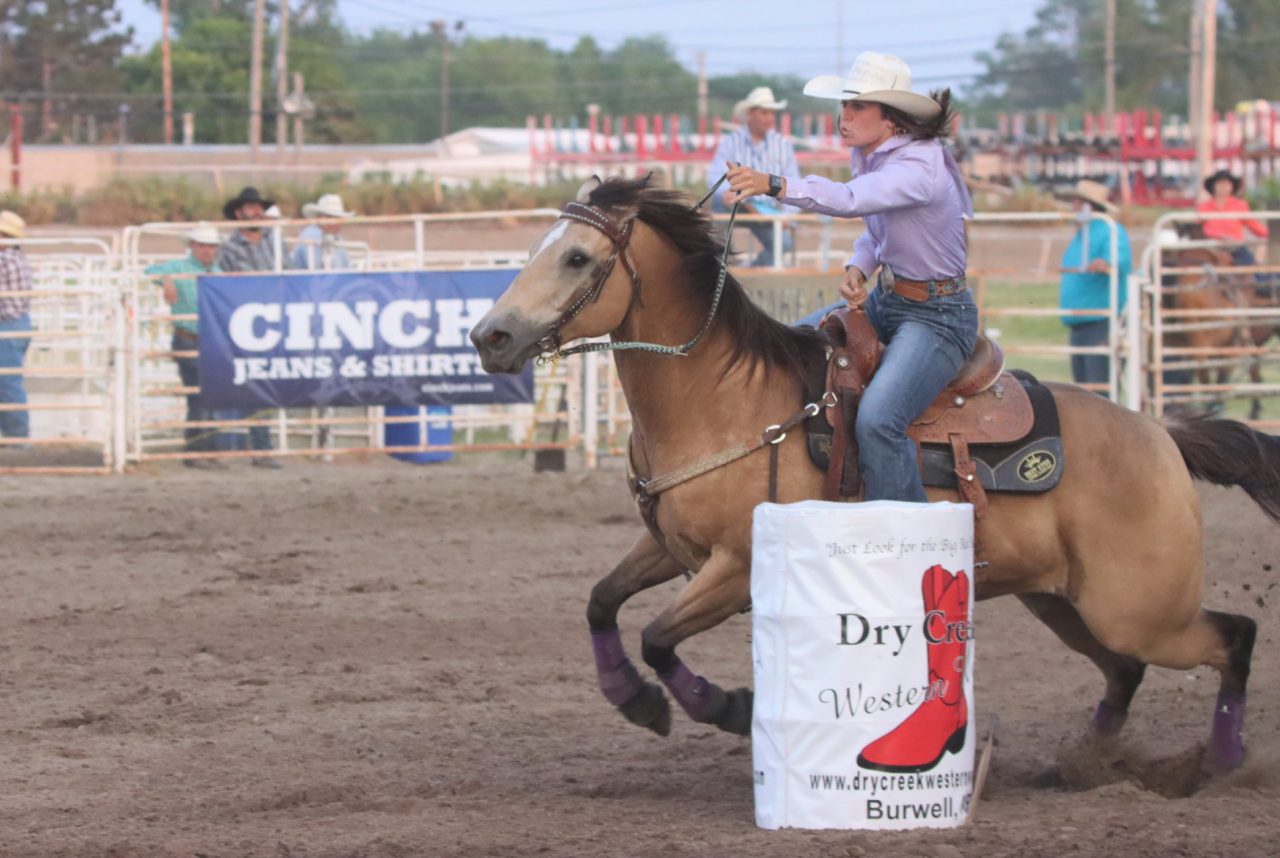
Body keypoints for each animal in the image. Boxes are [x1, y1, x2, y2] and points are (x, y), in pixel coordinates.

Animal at [473, 178, 1280, 783]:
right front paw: (633, 701)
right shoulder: (670, 549)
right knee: (1125, 672)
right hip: (1067, 603)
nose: (490, 336)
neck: (724, 402)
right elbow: (602, 603)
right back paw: (1090, 759)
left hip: (1138, 607)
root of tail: (1161, 434)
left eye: (578, 258)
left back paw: (1223, 761)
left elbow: (658, 637)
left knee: (1232, 638)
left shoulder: (736, 569)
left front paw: (724, 706)